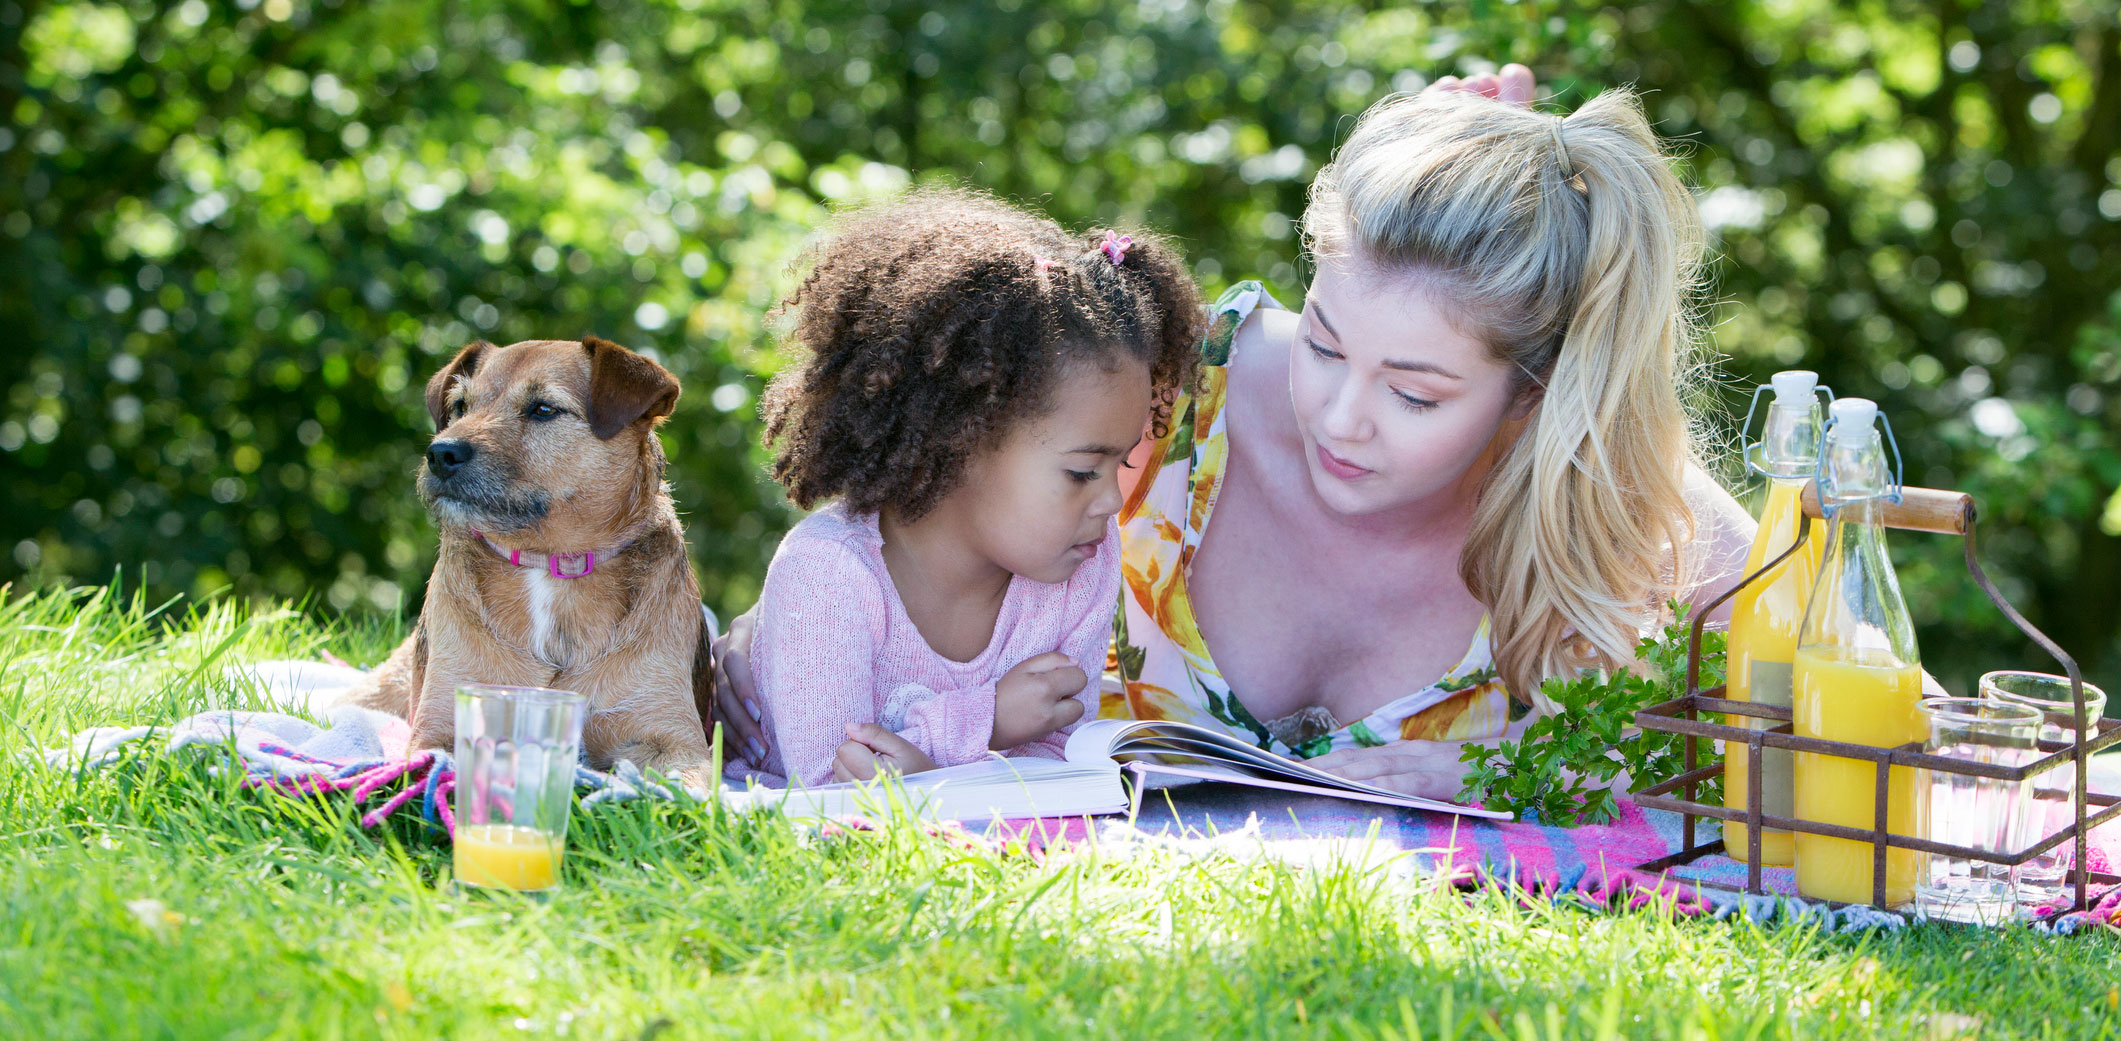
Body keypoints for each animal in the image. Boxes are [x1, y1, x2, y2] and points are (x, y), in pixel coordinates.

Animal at [339, 339, 716, 784]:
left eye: (543, 409)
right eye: (461, 406)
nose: (440, 453)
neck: (550, 562)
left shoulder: (676, 741)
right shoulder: (439, 731)